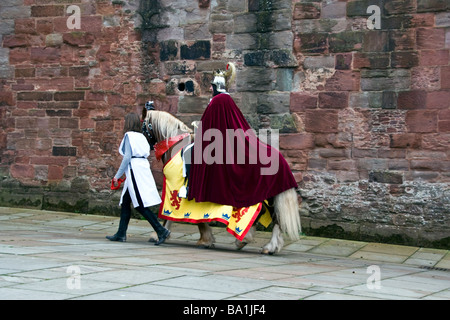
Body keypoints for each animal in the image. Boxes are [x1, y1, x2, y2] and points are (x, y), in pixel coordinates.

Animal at [142, 110, 300, 255]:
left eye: (143, 126)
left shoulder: (175, 187)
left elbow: (170, 215)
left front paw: (161, 234)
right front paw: (205, 239)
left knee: (267, 215)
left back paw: (254, 243)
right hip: (269, 195)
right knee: (272, 217)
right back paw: (266, 245)